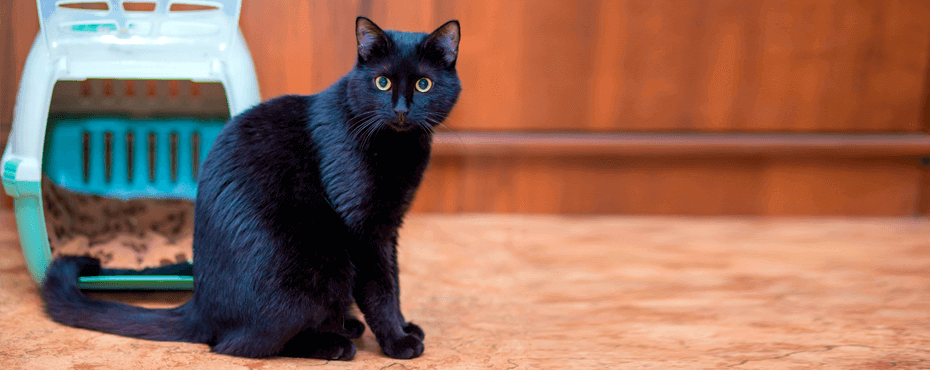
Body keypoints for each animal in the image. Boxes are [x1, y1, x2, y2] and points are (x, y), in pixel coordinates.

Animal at [40, 16, 460, 358]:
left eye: (424, 84)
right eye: (382, 82)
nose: (402, 110)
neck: (399, 149)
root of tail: (200, 307)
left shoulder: (390, 227)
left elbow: (395, 281)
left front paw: (404, 326)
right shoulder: (364, 231)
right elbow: (380, 289)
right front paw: (397, 341)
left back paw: (346, 326)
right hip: (317, 263)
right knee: (242, 345)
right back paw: (334, 343)